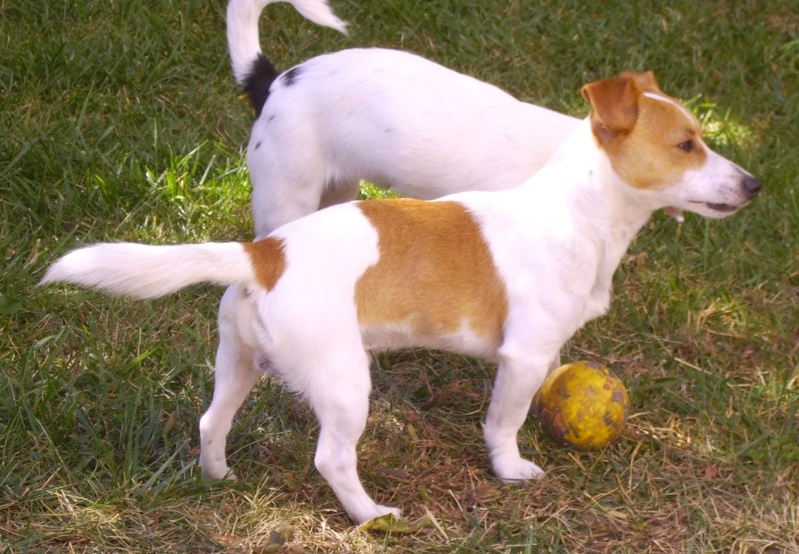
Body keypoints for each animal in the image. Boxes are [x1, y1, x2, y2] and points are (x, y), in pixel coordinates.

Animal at [42, 72, 764, 520]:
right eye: (686, 145)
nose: (755, 184)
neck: (581, 213)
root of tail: (265, 252)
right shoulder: (522, 356)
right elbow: (504, 422)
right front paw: (511, 470)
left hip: (238, 361)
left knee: (210, 423)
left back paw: (218, 478)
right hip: (343, 382)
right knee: (332, 456)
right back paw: (369, 515)